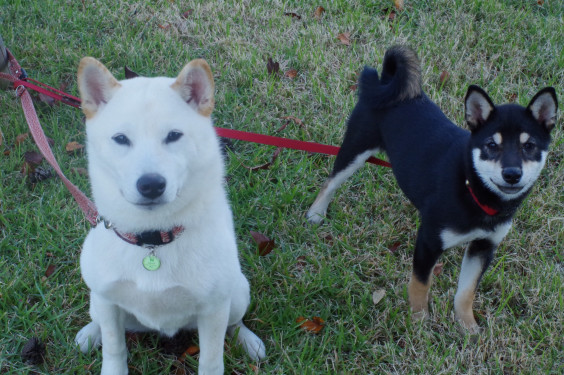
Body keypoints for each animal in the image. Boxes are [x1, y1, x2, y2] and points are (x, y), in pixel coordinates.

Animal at [74, 57, 266, 374]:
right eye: (121, 139)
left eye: (174, 136)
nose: (151, 184)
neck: (152, 238)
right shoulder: (107, 300)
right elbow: (114, 347)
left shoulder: (214, 308)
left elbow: (211, 360)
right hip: (96, 299)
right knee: (100, 320)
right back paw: (91, 333)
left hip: (238, 292)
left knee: (235, 322)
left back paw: (247, 340)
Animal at [308, 46, 560, 332]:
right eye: (491, 146)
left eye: (529, 146)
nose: (512, 174)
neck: (472, 188)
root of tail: (384, 82)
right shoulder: (429, 241)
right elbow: (421, 284)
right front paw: (419, 321)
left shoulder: (484, 246)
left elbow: (466, 292)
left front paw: (468, 327)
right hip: (356, 147)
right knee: (330, 181)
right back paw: (316, 213)